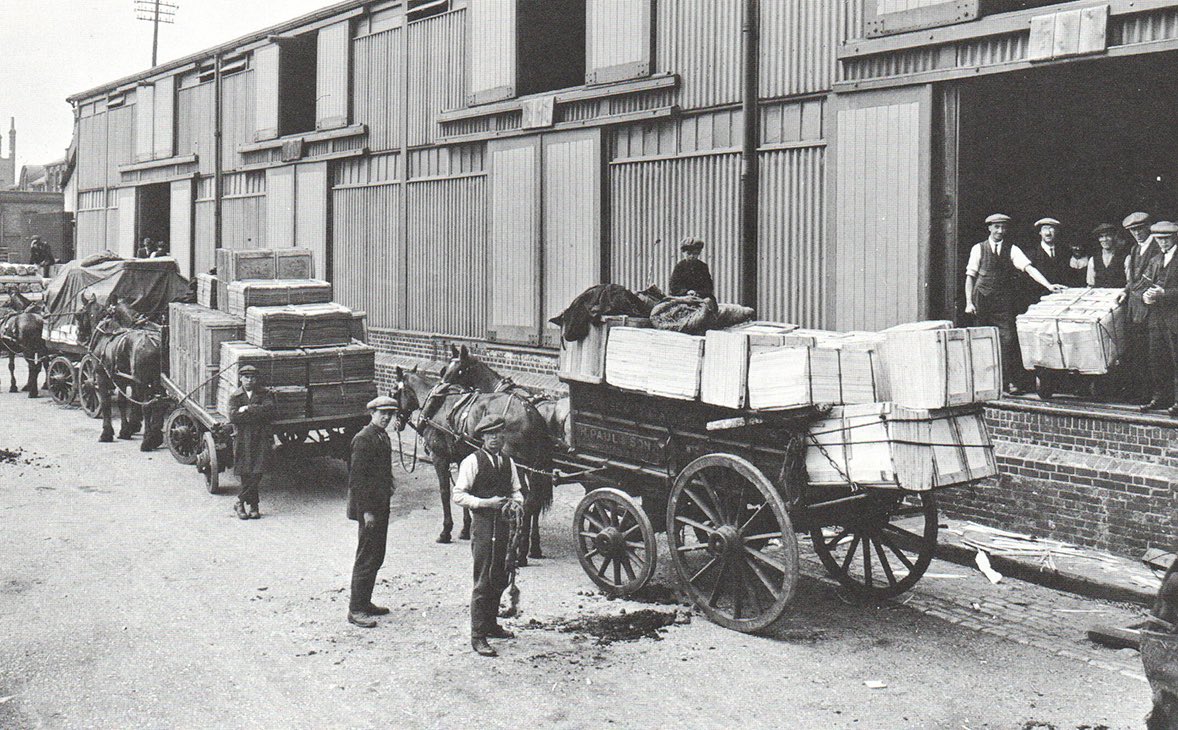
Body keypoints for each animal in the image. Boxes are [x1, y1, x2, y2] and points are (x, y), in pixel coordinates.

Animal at [77, 293, 167, 447]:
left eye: (79, 313)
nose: (79, 336)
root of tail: (156, 343)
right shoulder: (122, 378)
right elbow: (122, 402)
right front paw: (126, 430)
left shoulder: (101, 376)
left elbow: (106, 403)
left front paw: (107, 433)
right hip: (157, 382)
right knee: (159, 403)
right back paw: (156, 436)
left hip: (143, 382)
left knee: (147, 406)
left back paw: (147, 440)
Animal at [386, 364, 551, 565]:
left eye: (393, 393)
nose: (397, 424)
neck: (435, 404)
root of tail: (531, 412)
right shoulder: (461, 458)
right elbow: (463, 490)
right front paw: (465, 530)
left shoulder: (439, 458)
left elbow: (445, 492)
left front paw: (446, 531)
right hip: (533, 467)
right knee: (534, 501)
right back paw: (532, 548)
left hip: (518, 465)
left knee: (526, 500)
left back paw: (519, 552)